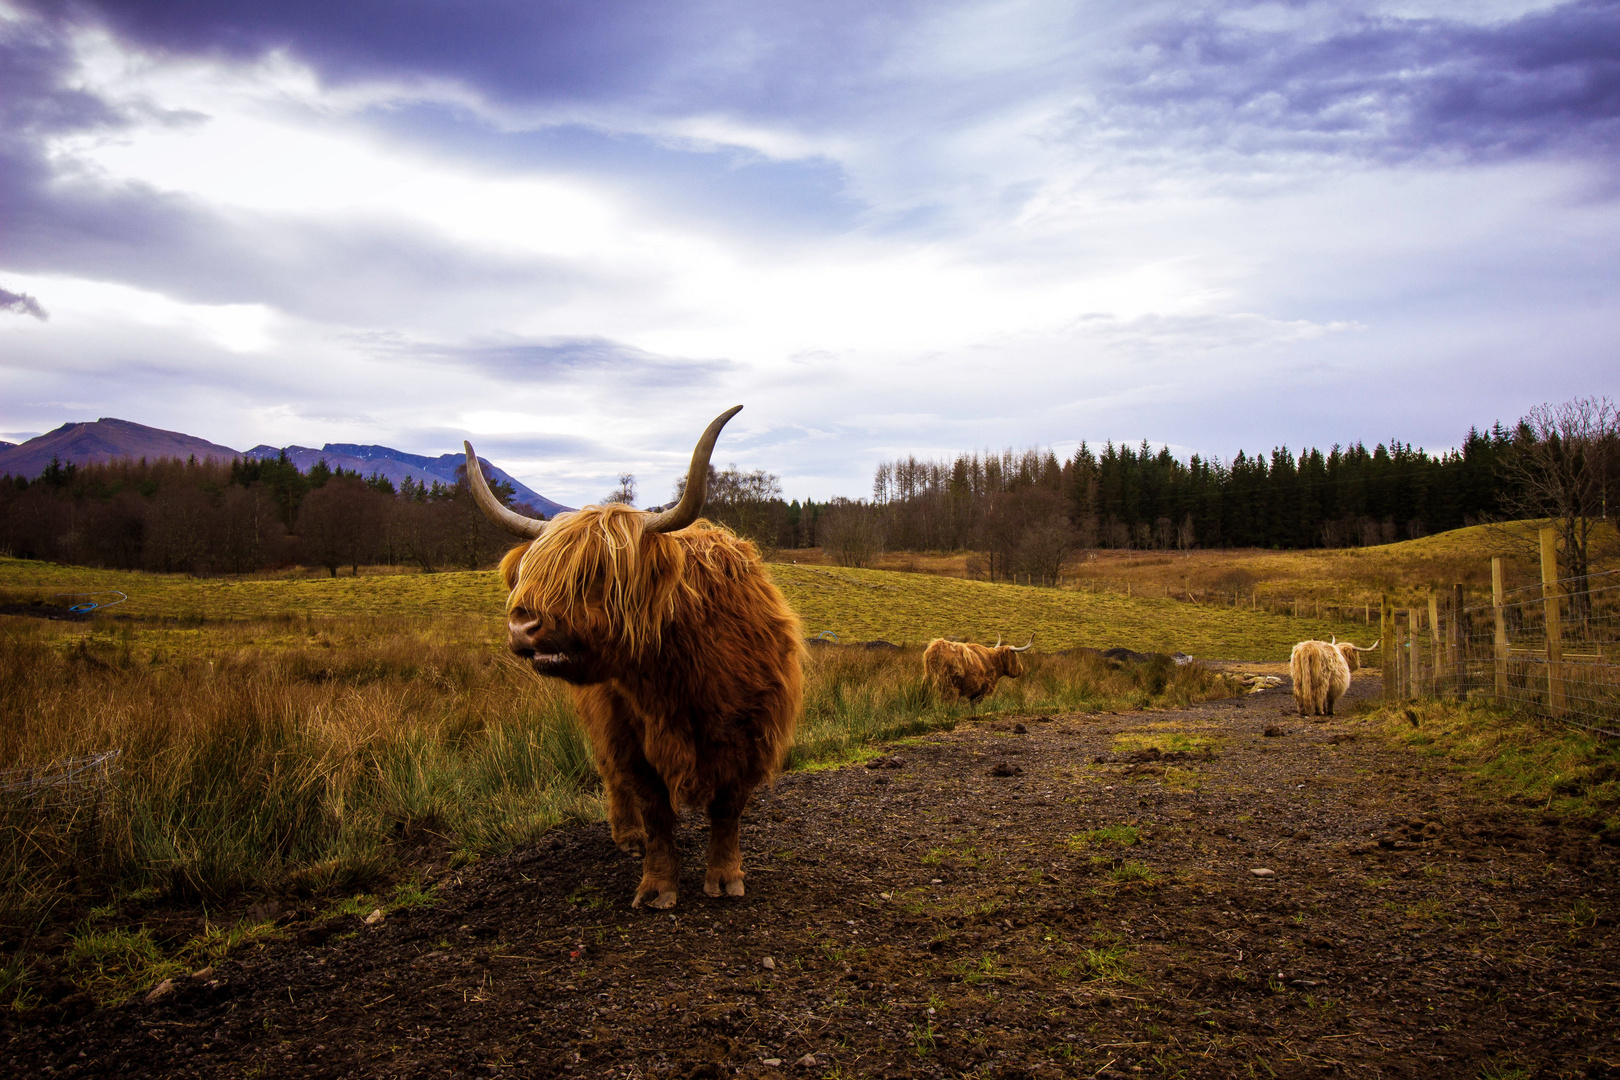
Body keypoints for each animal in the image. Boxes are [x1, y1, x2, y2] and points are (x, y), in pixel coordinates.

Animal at [463, 409, 803, 906]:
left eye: (597, 572)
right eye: (532, 571)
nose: (521, 627)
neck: (674, 677)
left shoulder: (749, 735)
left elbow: (726, 808)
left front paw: (724, 877)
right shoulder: (626, 736)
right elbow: (655, 809)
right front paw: (658, 885)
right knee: (611, 777)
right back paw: (627, 834)